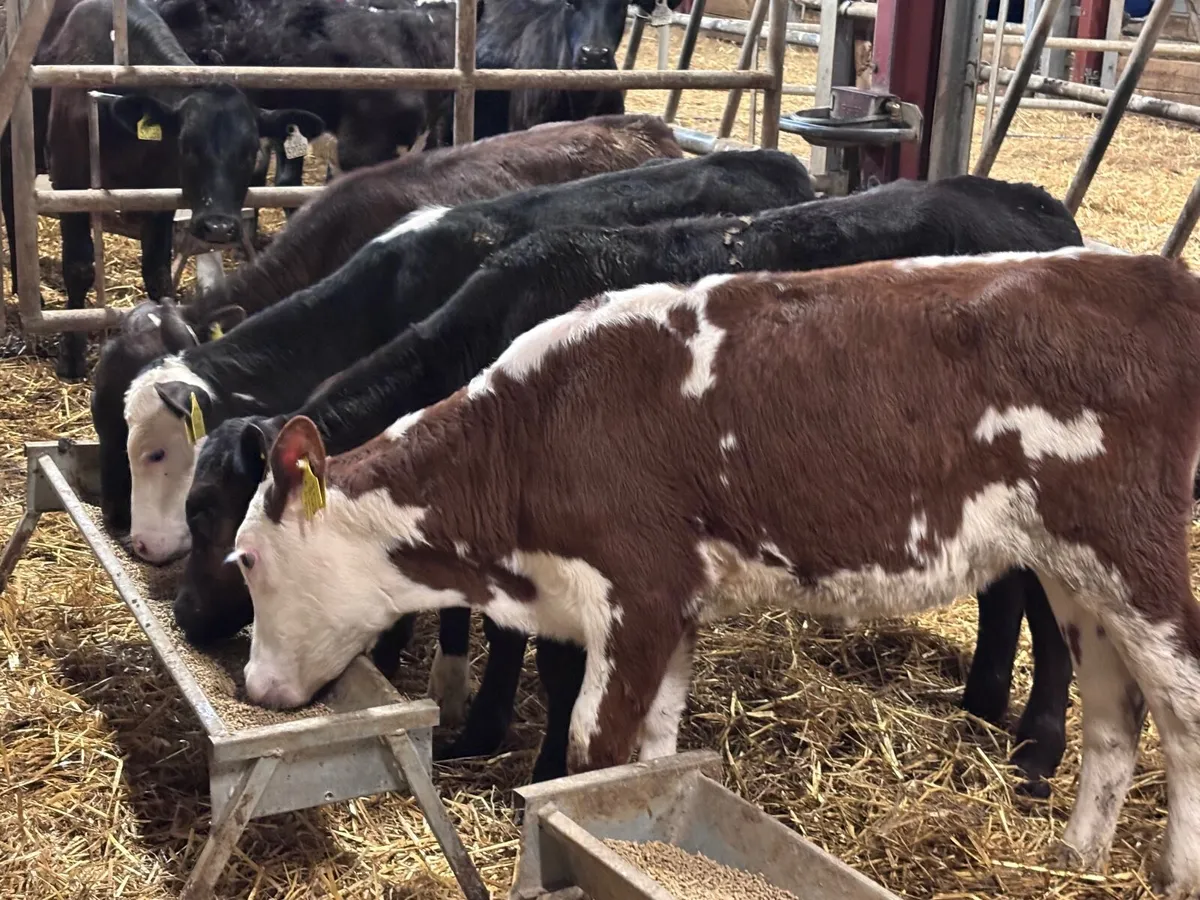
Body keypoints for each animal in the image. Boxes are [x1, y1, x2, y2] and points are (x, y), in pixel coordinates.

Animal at [1, 0, 324, 380]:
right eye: (187, 146)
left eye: (251, 152)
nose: (218, 227)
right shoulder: (70, 182)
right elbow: (79, 268)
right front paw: (71, 357)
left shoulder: (159, 197)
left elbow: (157, 274)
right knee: (12, 212)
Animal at [186, 174, 1082, 786]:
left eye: (215, 520)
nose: (190, 619)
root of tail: (1027, 203)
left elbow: (546, 660)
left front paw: (524, 756)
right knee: (1007, 589)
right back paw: (983, 700)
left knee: (1049, 606)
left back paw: (1038, 746)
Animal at [233, 249, 1200, 897]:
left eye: (244, 558)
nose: (251, 685)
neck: (533, 434)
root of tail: (1146, 275)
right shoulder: (677, 607)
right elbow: (653, 750)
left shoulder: (639, 590)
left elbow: (592, 751)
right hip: (1077, 574)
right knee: (1115, 715)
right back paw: (1076, 858)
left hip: (1133, 550)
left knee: (1183, 706)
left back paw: (1175, 868)